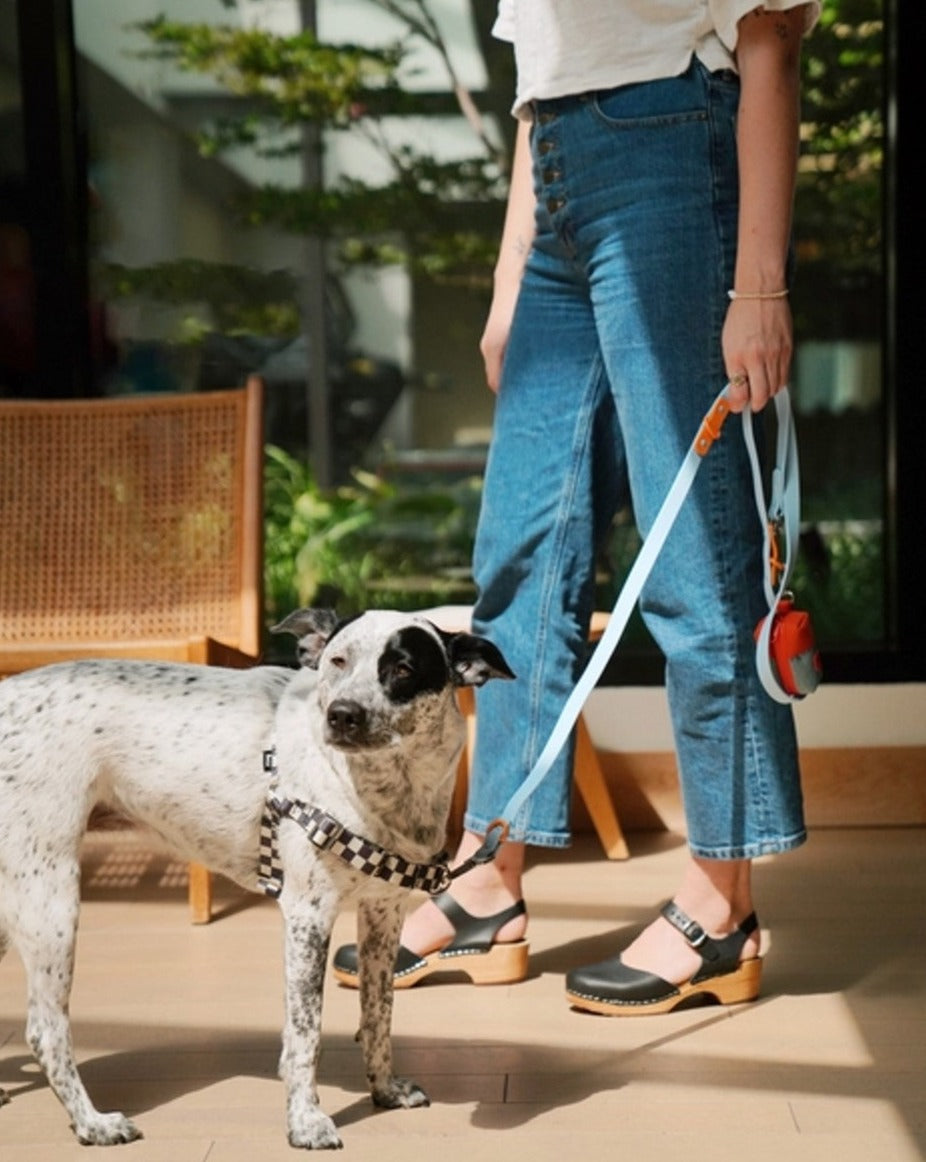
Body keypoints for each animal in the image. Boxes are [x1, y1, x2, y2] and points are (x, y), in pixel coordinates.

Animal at [0, 613, 513, 1148]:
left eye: (403, 669)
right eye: (337, 661)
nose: (342, 715)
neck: (381, 788)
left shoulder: (383, 914)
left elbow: (378, 1013)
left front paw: (384, 1090)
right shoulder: (308, 915)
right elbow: (306, 1032)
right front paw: (305, 1122)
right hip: (50, 900)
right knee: (44, 1031)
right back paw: (92, 1123)